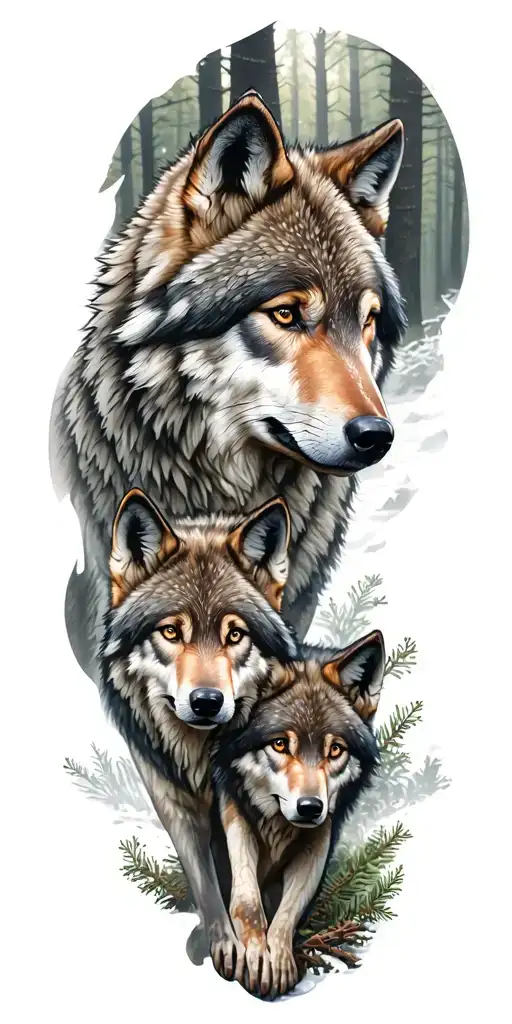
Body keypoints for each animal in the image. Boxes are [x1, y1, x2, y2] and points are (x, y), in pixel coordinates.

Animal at [100, 486, 298, 972]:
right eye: (171, 631)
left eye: (235, 635)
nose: (207, 702)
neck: (198, 755)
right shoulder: (170, 797)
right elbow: (205, 880)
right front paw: (223, 944)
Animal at [211, 630, 385, 999]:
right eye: (280, 744)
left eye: (335, 750)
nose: (309, 807)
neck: (279, 824)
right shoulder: (233, 808)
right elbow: (247, 902)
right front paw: (254, 955)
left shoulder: (320, 835)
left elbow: (291, 907)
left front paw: (277, 960)